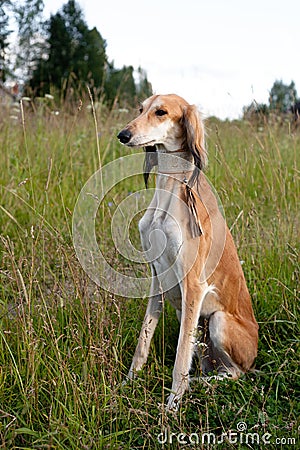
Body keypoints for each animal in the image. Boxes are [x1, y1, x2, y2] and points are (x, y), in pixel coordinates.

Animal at [117, 93, 258, 410]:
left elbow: (181, 358)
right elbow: (143, 341)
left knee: (235, 374)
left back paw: (199, 385)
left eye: (161, 112)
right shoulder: (157, 277)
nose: (123, 135)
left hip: (217, 321)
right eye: (141, 109)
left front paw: (172, 405)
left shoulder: (193, 285)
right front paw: (128, 383)